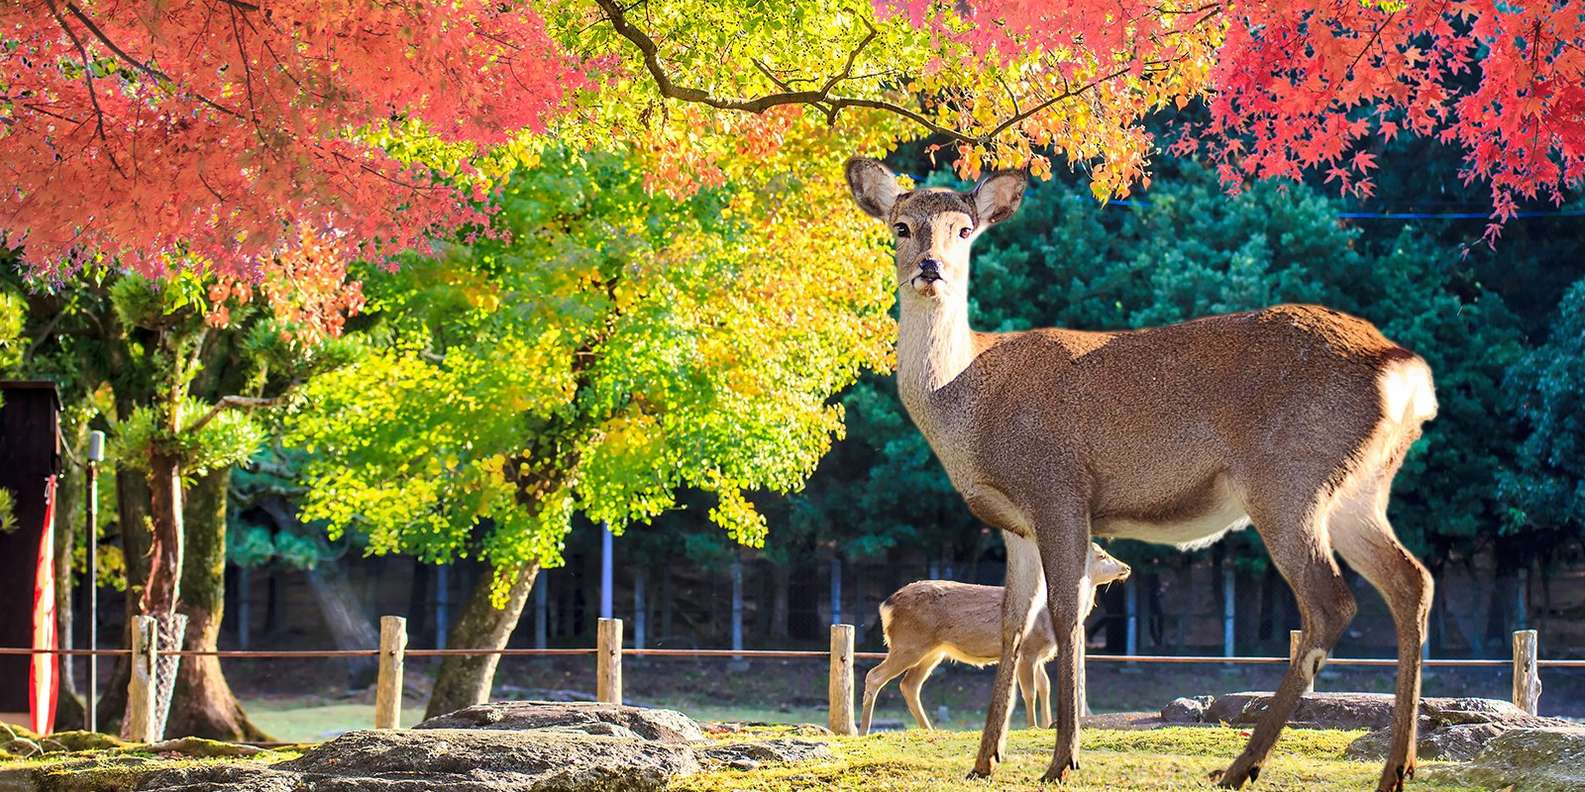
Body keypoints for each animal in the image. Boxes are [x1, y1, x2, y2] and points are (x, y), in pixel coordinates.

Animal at [855, 541, 1128, 731]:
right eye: (1102, 555)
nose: (1126, 567)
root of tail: (886, 606)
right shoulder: (1028, 650)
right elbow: (1028, 690)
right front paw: (1032, 725)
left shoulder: (1039, 654)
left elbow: (1045, 686)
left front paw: (1047, 724)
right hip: (908, 643)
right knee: (875, 675)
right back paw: (863, 729)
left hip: (933, 650)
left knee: (909, 684)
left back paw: (928, 729)